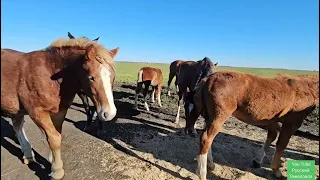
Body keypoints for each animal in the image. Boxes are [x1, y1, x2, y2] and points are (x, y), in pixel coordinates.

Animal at [1, 37, 119, 179]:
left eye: (113, 77)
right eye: (91, 77)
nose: (109, 113)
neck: (49, 75)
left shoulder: (59, 112)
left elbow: (56, 135)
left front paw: (52, 161)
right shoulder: (37, 112)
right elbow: (54, 138)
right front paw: (57, 170)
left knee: (17, 125)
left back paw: (28, 155)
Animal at [185, 70, 318, 180]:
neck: (307, 88)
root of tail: (208, 78)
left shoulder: (272, 120)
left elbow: (272, 136)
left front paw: (258, 160)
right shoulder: (292, 123)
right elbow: (281, 145)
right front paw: (276, 171)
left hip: (209, 117)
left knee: (209, 139)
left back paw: (211, 164)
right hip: (219, 117)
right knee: (206, 138)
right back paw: (202, 174)